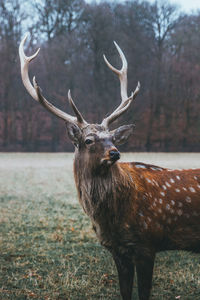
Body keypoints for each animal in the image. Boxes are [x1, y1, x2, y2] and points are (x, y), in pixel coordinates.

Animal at [19, 34, 200, 298]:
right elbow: (125, 292)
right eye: (88, 140)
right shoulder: (117, 249)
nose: (115, 152)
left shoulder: (147, 243)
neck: (111, 218)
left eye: (112, 138)